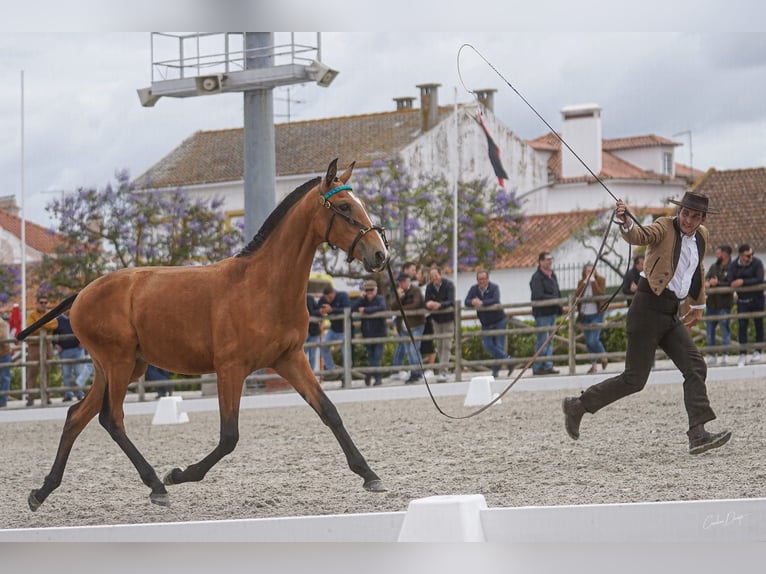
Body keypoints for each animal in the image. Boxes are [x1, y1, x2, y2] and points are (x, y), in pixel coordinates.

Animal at [19, 159, 390, 512]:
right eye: (344, 206)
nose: (380, 254)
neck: (262, 285)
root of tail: (82, 293)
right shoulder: (230, 368)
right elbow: (229, 436)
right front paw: (179, 474)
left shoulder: (290, 359)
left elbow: (329, 411)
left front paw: (370, 475)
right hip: (118, 362)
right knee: (111, 419)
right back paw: (157, 485)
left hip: (118, 367)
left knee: (77, 416)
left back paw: (42, 491)